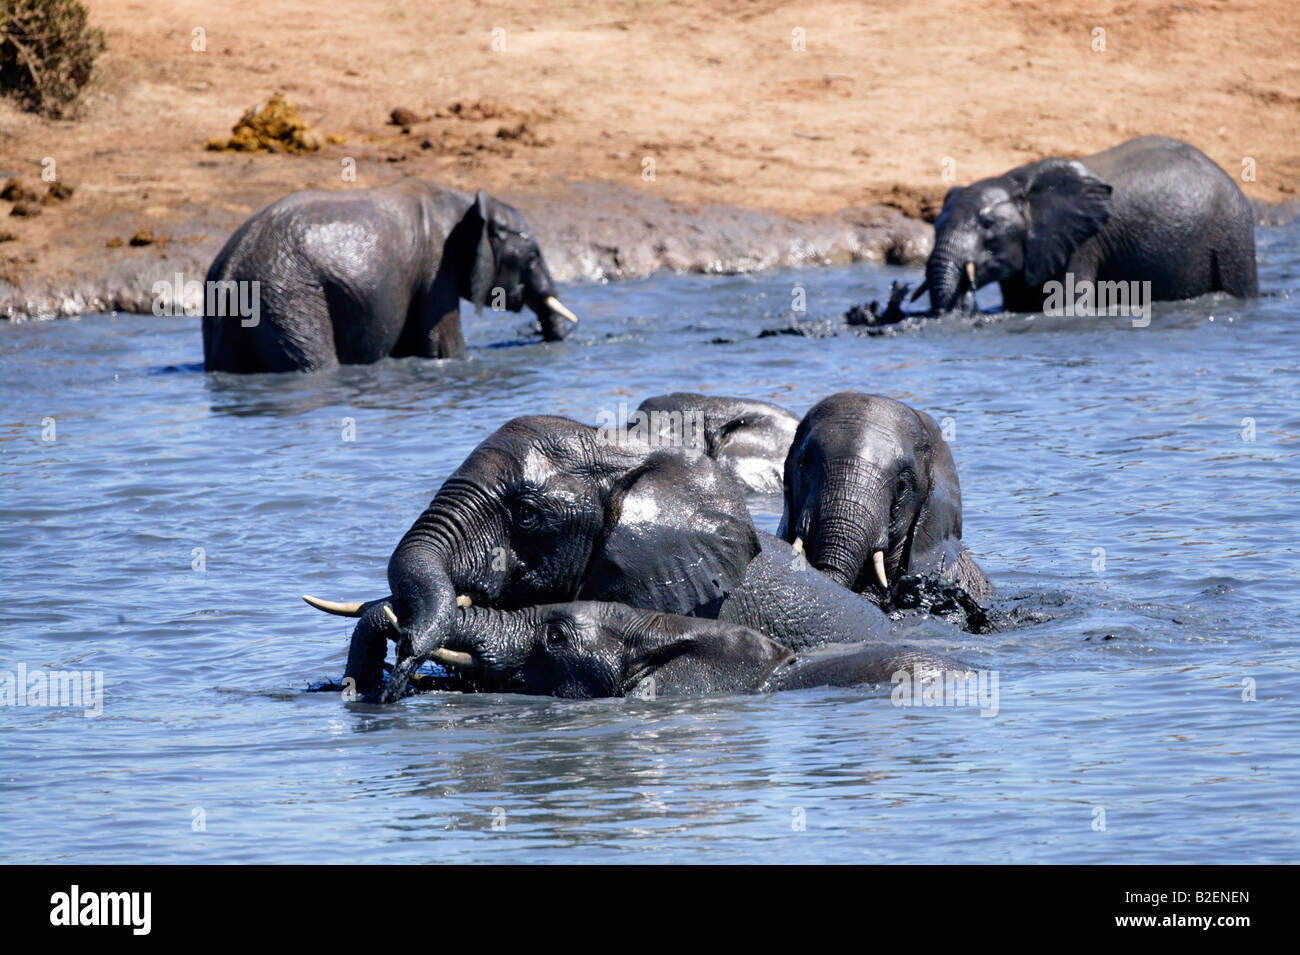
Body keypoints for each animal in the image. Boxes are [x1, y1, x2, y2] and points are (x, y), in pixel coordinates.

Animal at [202, 179, 579, 374]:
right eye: (533, 257)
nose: (538, 335)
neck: (465, 205)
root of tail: (233, 266)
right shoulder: (435, 267)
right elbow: (444, 345)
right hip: (287, 296)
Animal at [915, 135, 1258, 314]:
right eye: (934, 227)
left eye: (987, 226)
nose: (965, 293)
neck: (1017, 183)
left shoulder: (1079, 246)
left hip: (1233, 238)